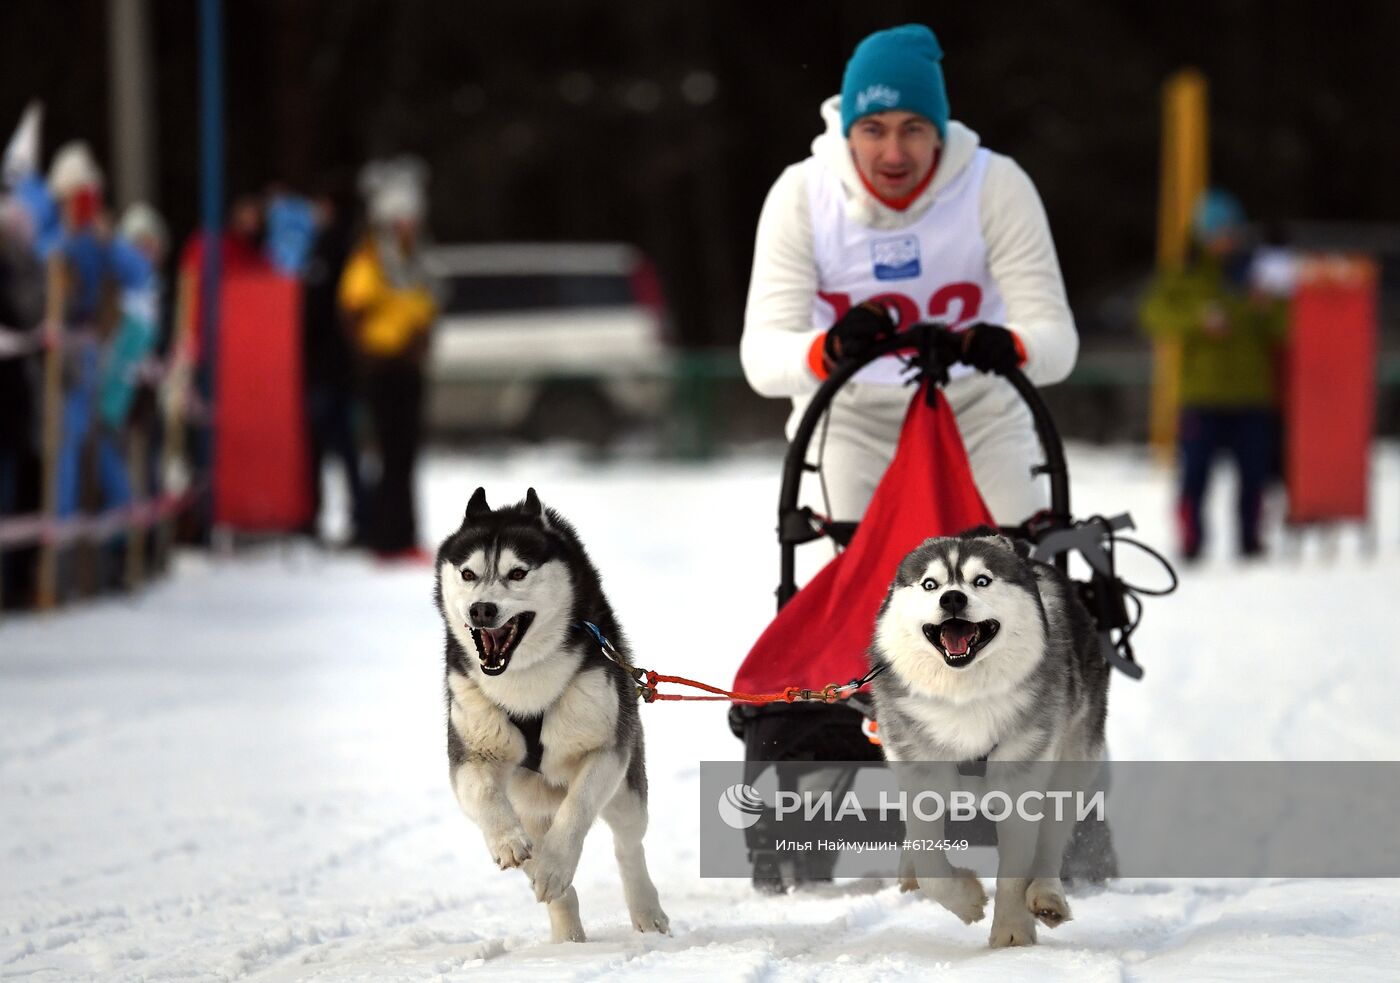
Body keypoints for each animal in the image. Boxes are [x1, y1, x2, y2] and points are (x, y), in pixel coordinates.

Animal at [436, 490, 672, 940]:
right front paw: (509, 844)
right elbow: (485, 795)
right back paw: (567, 933)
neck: (525, 684)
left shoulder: (605, 749)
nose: (481, 610)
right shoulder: (471, 754)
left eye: (517, 573)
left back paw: (646, 910)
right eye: (468, 573)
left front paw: (555, 867)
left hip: (627, 789)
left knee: (628, 844)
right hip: (528, 797)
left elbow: (577, 807)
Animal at [868, 526, 1108, 952]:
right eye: (930, 584)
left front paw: (1012, 933)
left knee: (1051, 838)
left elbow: (1015, 871)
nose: (952, 597)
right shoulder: (918, 773)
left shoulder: (1021, 778)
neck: (964, 697)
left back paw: (1047, 896)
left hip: (1072, 760)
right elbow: (930, 864)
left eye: (982, 581)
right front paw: (966, 901)